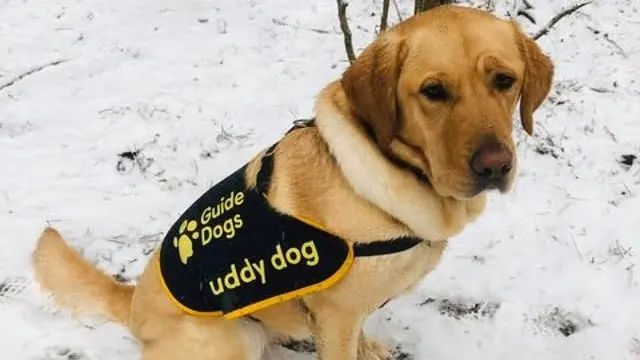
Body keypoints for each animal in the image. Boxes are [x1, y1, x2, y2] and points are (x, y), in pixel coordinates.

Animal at [31, 5, 552, 360]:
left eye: (504, 80)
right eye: (433, 91)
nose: (494, 165)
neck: (400, 176)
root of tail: (133, 301)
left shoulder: (345, 315)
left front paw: (371, 347)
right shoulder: (336, 315)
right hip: (232, 335)